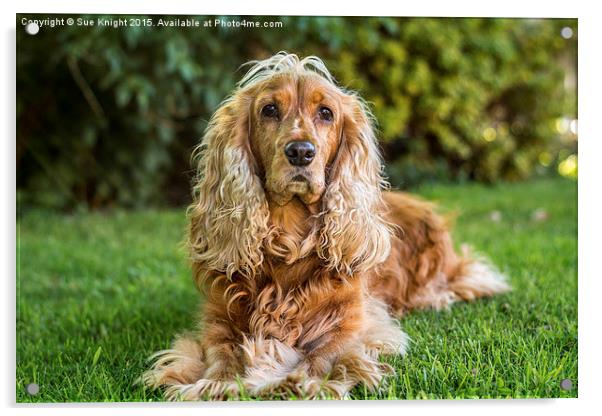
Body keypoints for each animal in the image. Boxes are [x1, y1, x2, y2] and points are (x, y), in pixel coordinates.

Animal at [142, 52, 510, 400]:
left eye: (326, 113)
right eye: (269, 109)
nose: (301, 152)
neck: (288, 239)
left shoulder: (357, 322)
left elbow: (325, 354)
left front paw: (301, 381)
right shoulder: (218, 319)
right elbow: (223, 354)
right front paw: (216, 383)